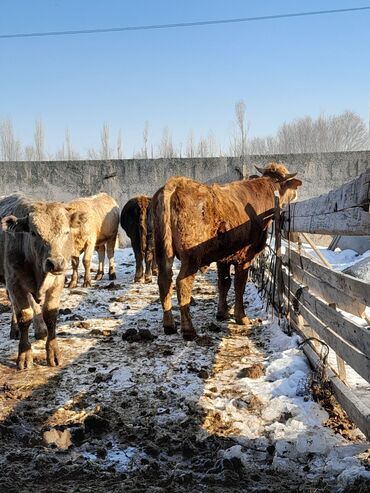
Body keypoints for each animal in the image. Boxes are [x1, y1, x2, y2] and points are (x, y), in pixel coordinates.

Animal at [0, 194, 86, 368]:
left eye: (66, 232)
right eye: (33, 233)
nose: (56, 263)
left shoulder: (57, 282)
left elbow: (50, 315)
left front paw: (53, 352)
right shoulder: (15, 283)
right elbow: (24, 316)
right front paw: (24, 355)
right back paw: (15, 330)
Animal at [152, 163, 302, 340]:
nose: (296, 193)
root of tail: (174, 184)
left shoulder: (222, 258)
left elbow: (224, 283)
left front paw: (222, 313)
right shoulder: (245, 258)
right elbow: (239, 285)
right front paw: (241, 317)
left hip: (162, 252)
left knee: (164, 281)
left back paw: (169, 325)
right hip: (191, 257)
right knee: (182, 284)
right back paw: (189, 330)